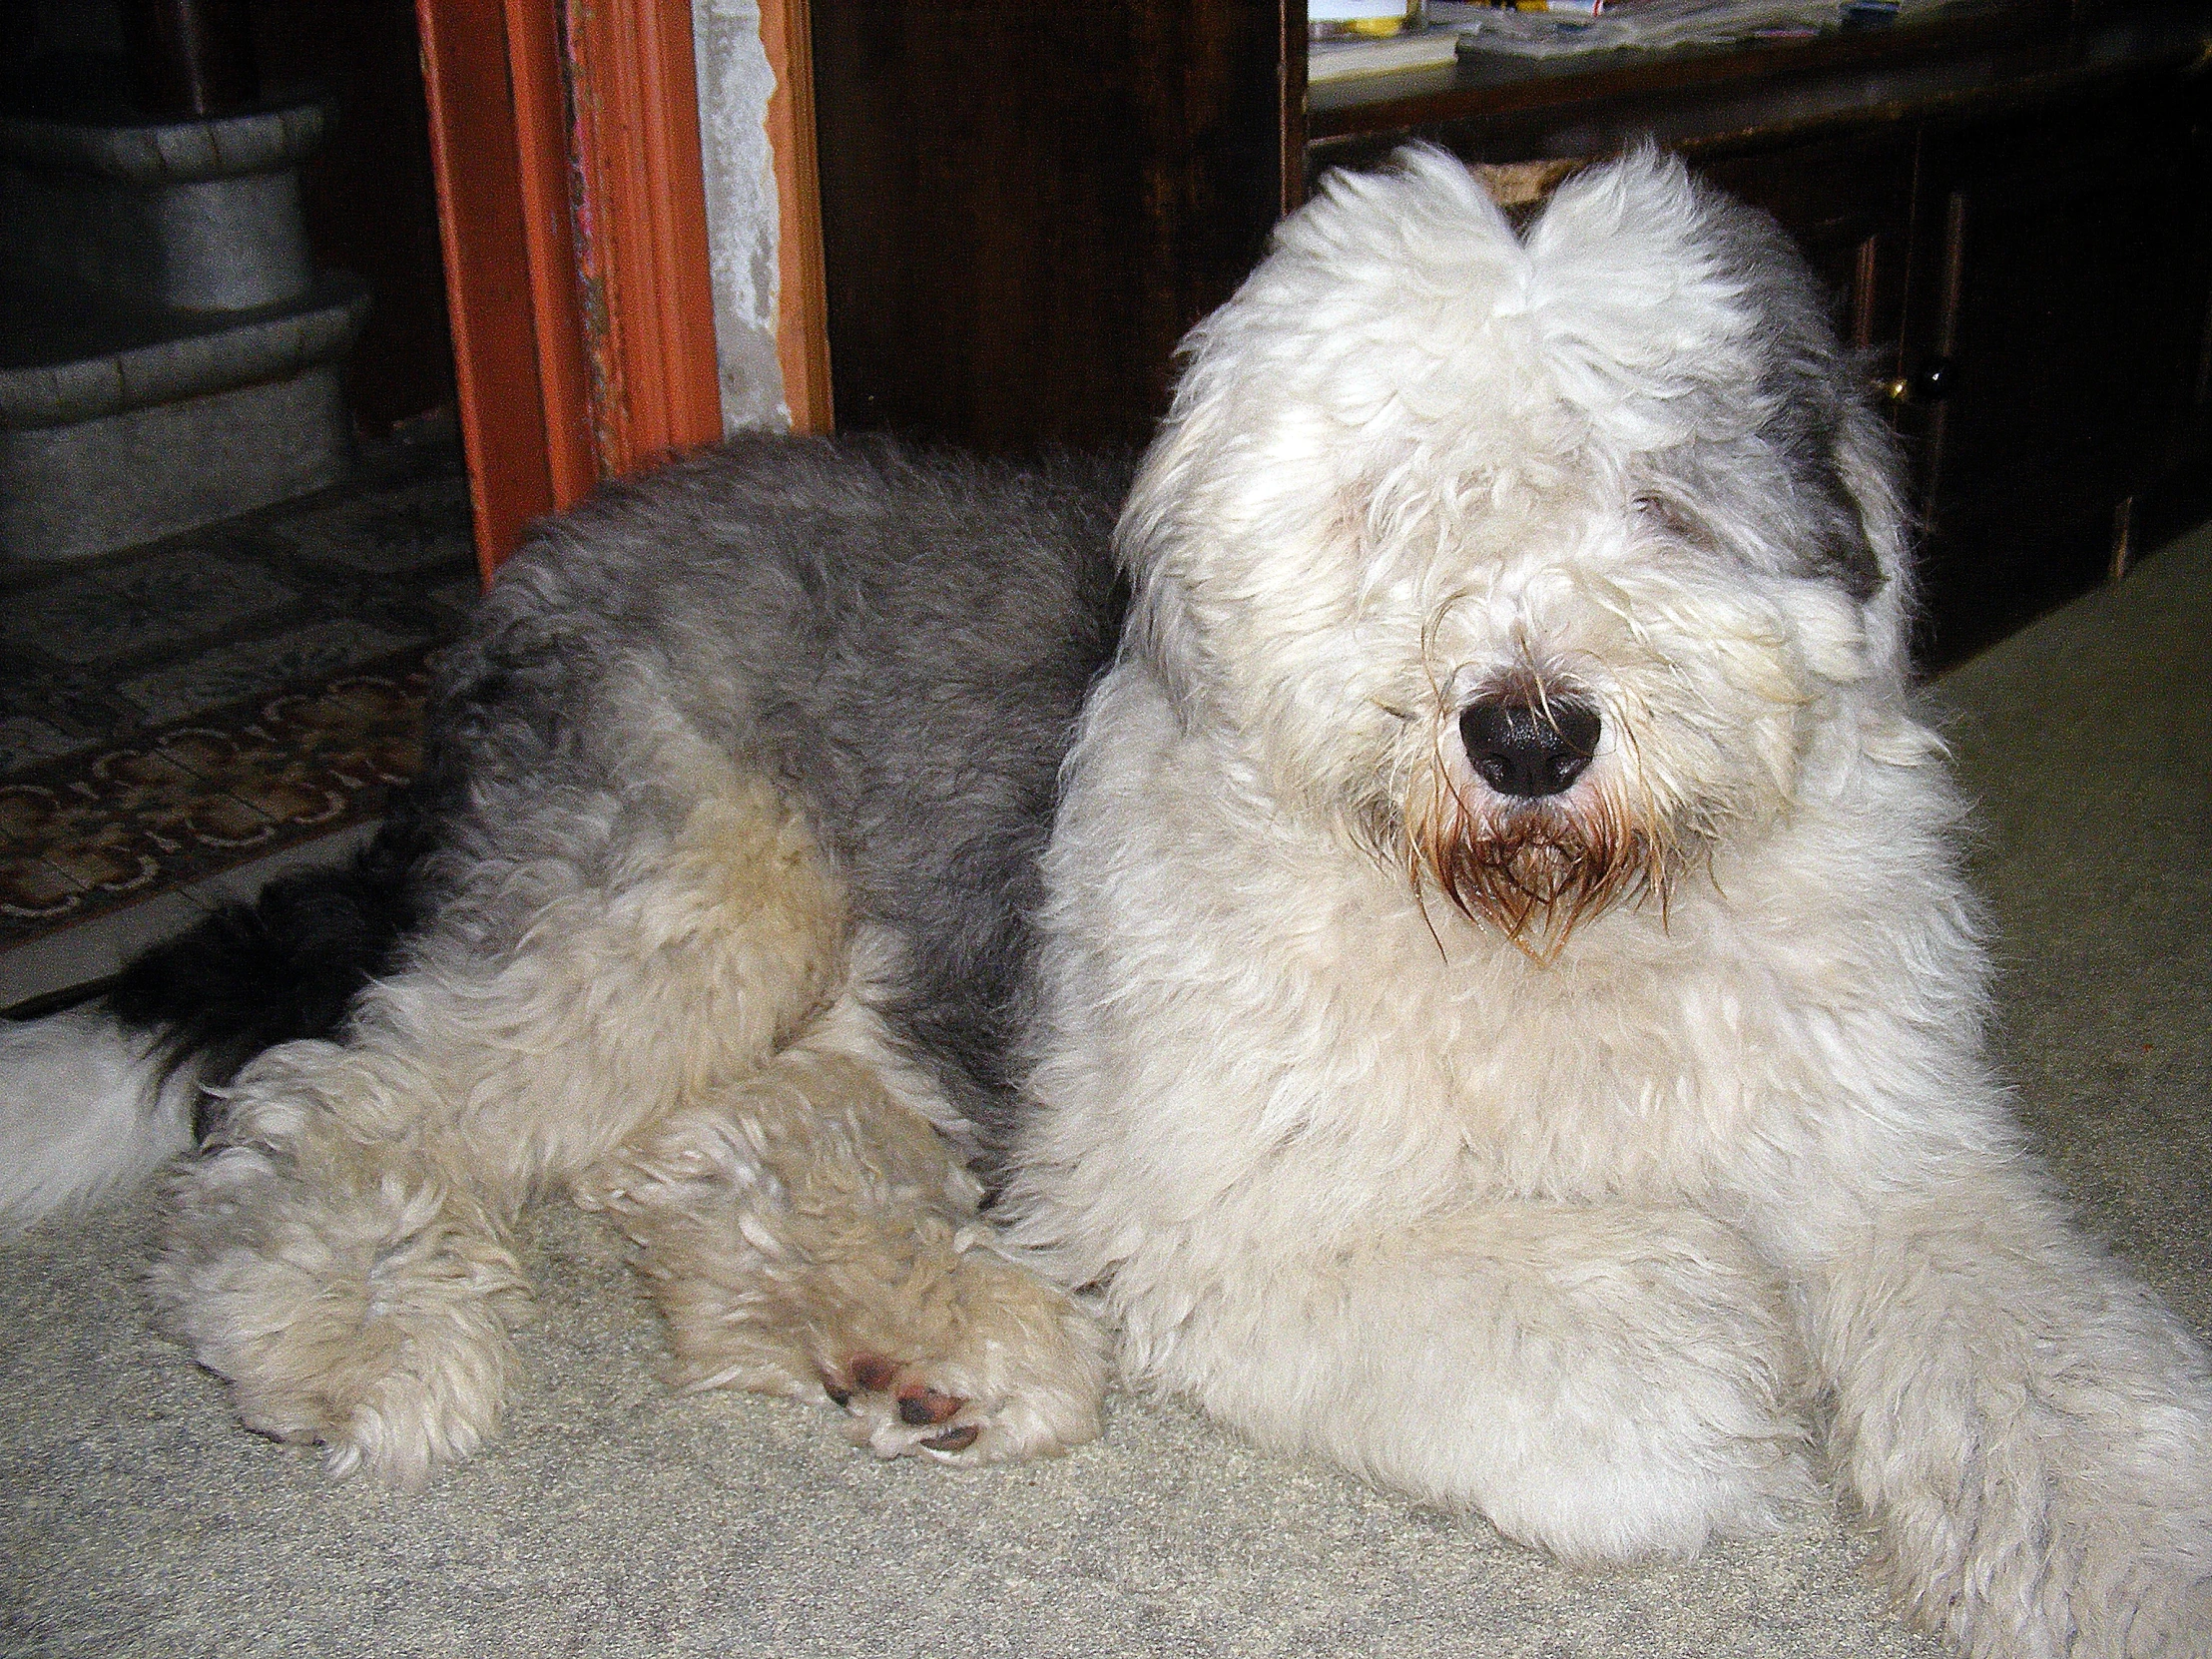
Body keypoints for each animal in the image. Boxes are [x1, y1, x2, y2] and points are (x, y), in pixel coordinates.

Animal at [4, 149, 2212, 1654]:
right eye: (1394, 506)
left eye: (1663, 500)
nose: (1527, 733)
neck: (1540, 930)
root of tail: (537, 567)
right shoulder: (1209, 1204)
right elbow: (1630, 1358)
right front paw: (1701, 1322)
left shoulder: (1886, 1147)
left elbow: (2051, 1372)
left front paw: (2138, 1556)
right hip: (698, 895)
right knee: (348, 1095)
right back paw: (343, 1332)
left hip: (870, 1001)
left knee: (695, 1154)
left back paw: (919, 1344)